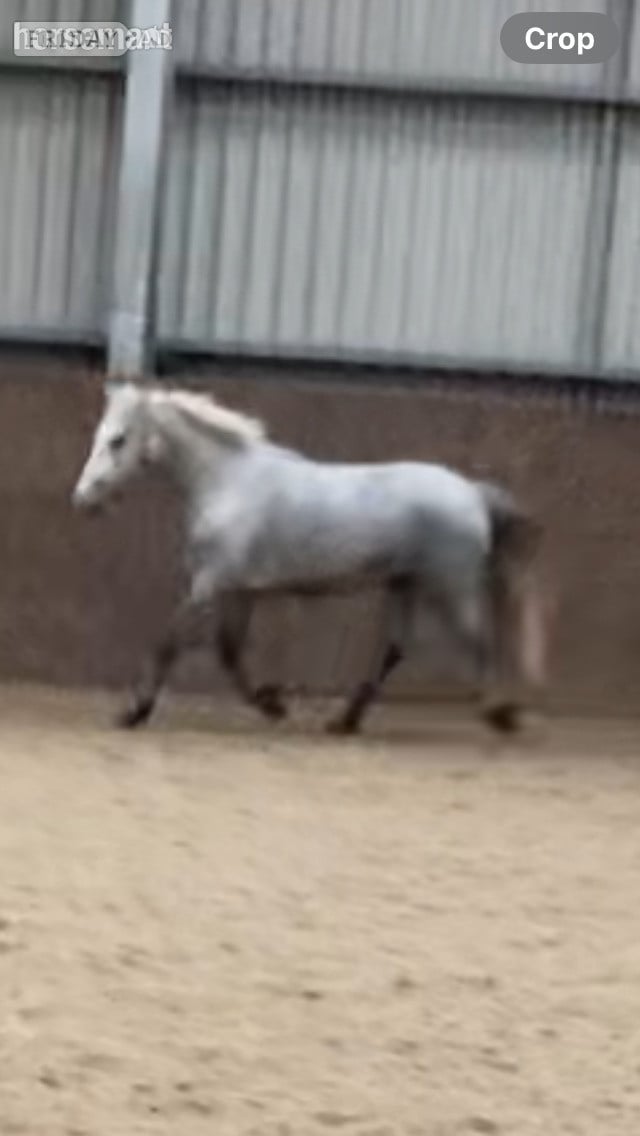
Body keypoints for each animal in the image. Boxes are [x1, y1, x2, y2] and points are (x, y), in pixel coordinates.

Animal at [72, 380, 546, 735]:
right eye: (97, 436)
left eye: (118, 440)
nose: (83, 499)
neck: (227, 483)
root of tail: (473, 494)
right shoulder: (240, 591)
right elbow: (229, 650)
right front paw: (272, 705)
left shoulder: (211, 583)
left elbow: (170, 641)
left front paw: (134, 711)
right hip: (405, 584)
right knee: (395, 648)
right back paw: (345, 721)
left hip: (450, 585)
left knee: (479, 639)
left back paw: (500, 713)